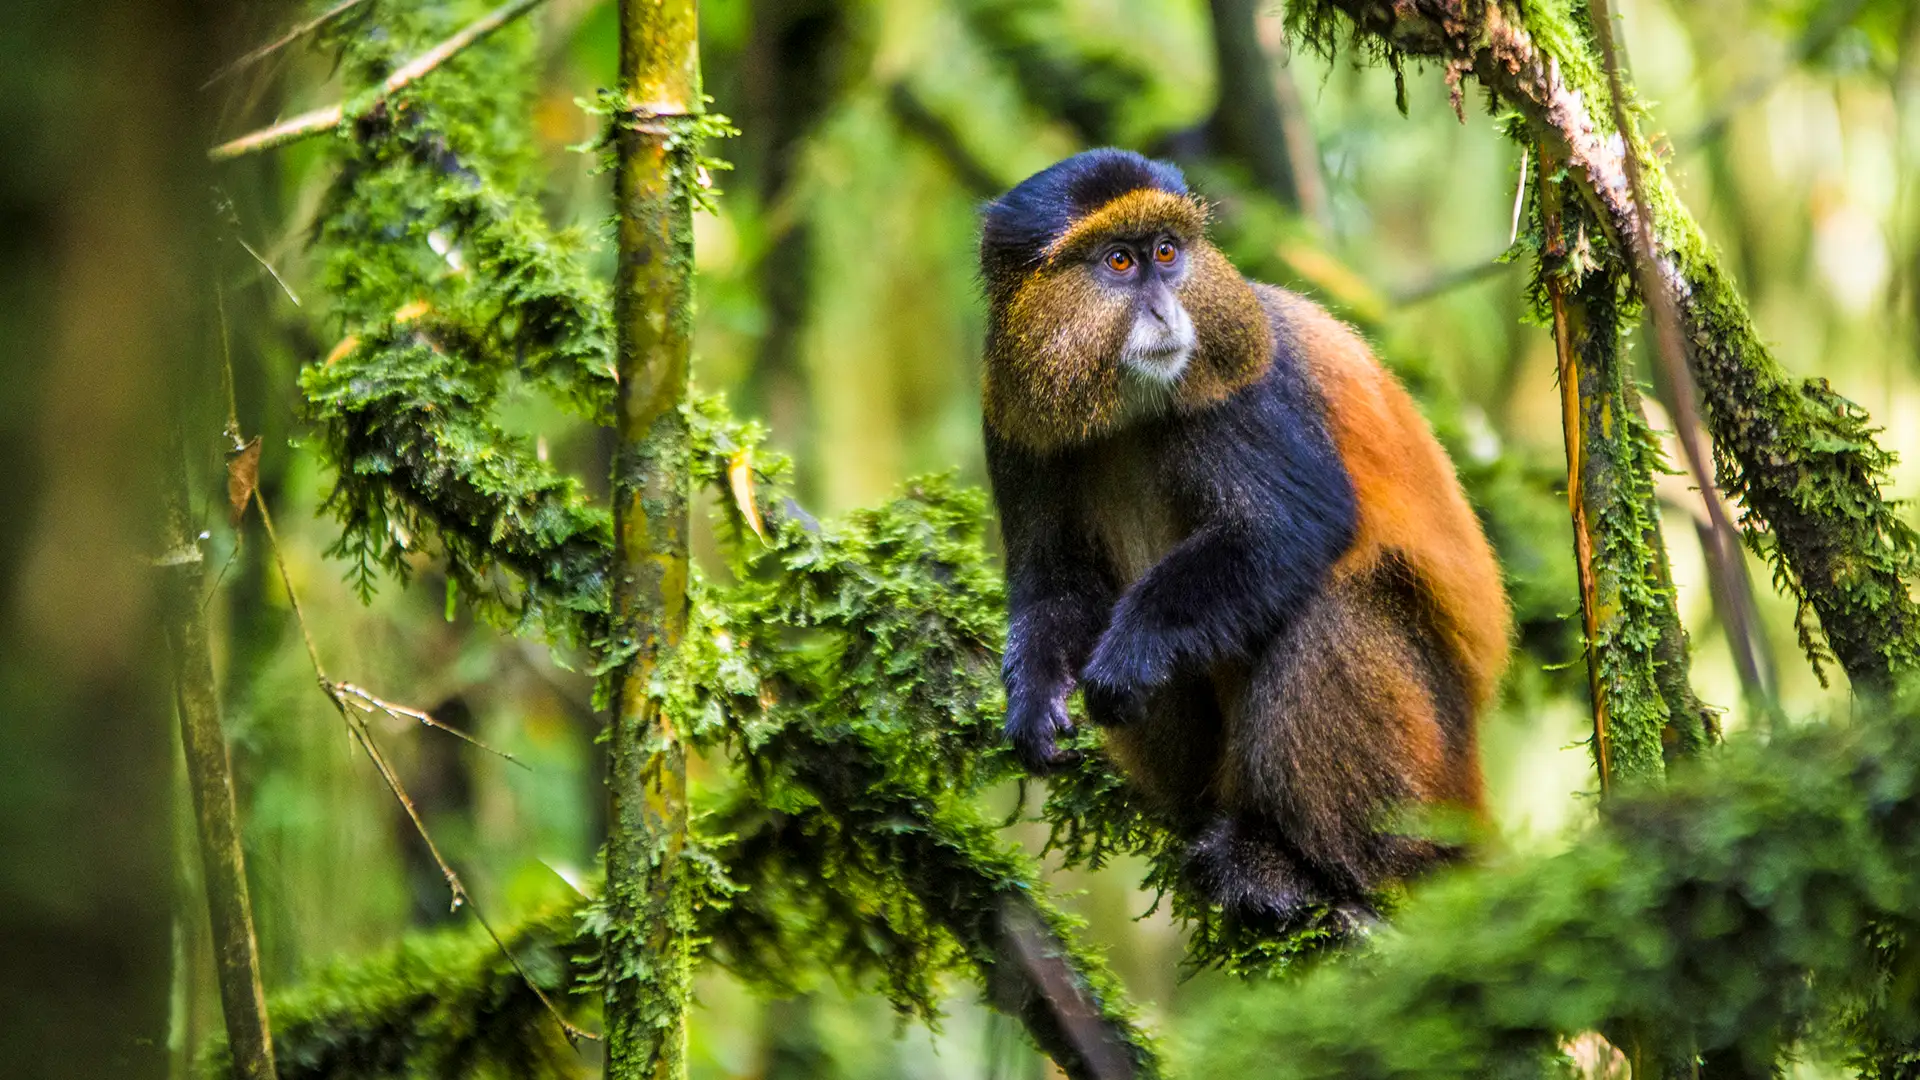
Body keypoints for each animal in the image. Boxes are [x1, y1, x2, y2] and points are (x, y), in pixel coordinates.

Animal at [979, 149, 1510, 919]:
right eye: (1119, 261)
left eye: (1167, 253)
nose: (1166, 309)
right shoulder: (1013, 421)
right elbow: (1056, 582)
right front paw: (1033, 698)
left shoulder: (1243, 389)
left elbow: (1291, 528)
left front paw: (1131, 652)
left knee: (1330, 608)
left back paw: (1305, 865)